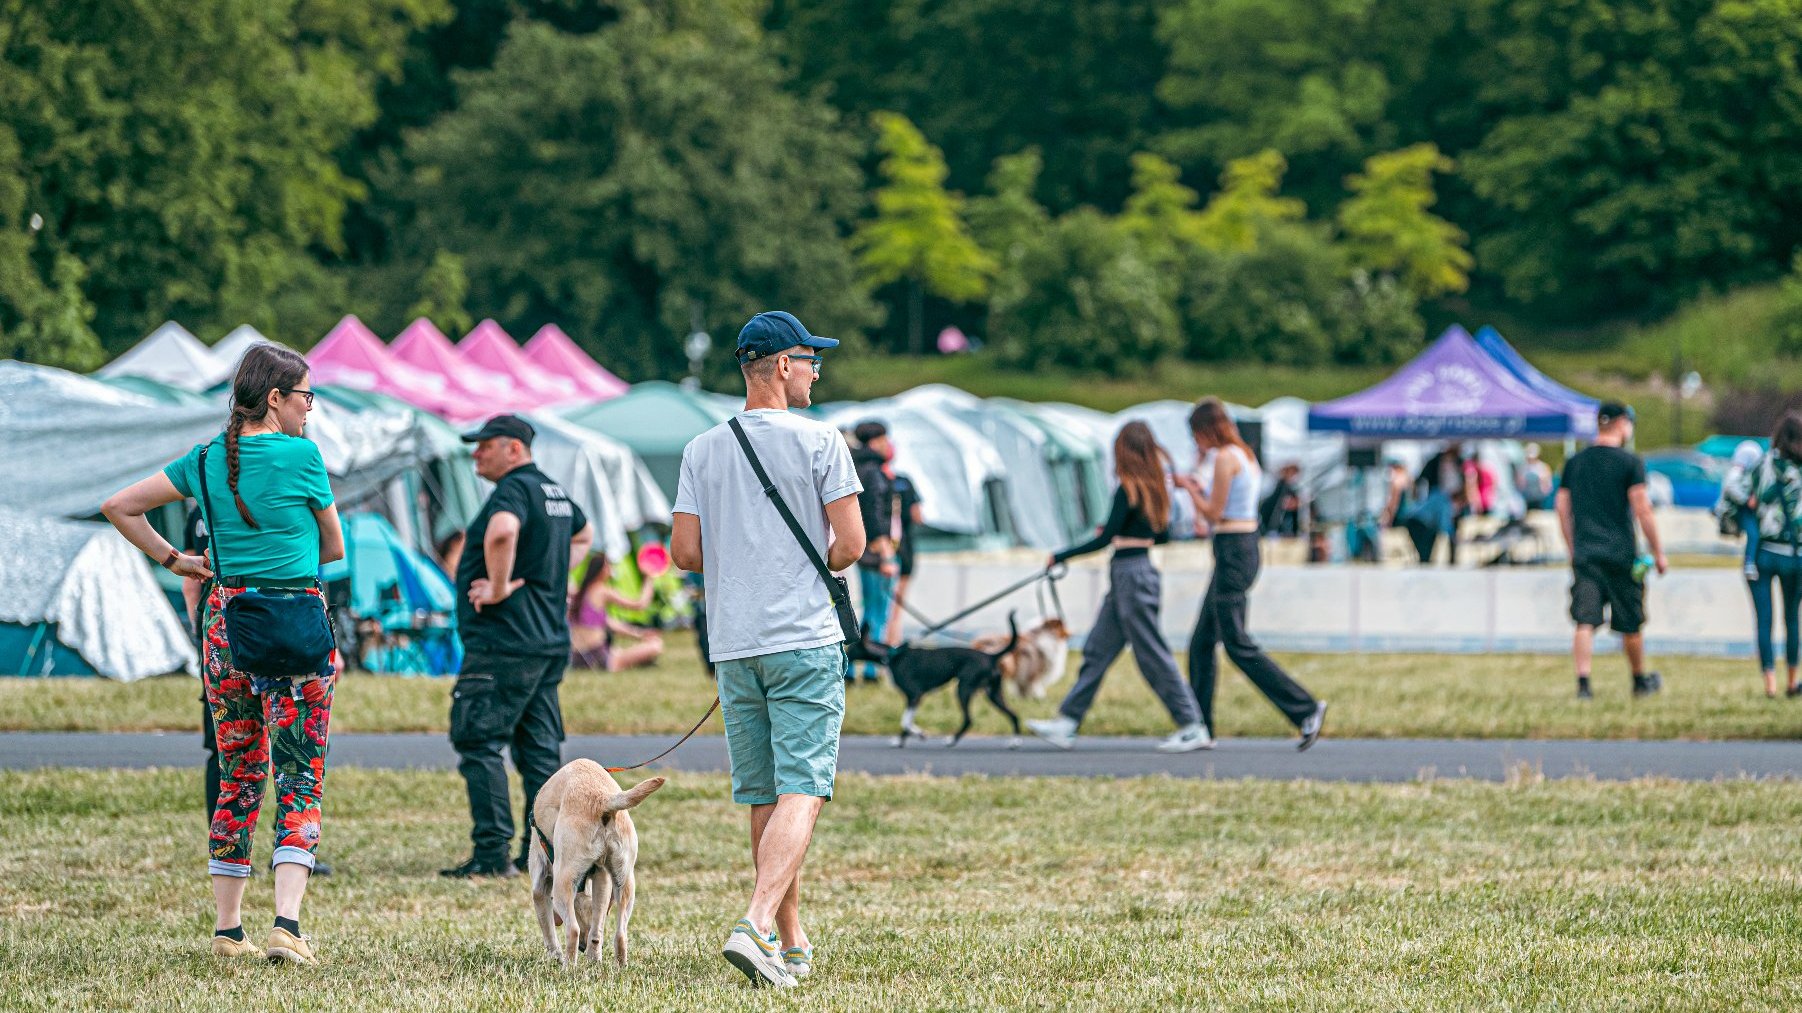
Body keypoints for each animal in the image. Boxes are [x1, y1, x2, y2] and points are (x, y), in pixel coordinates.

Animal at [529, 757, 666, 958]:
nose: (582, 947)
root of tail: (603, 799)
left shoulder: (540, 884)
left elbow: (548, 931)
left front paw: (555, 957)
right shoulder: (602, 876)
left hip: (562, 883)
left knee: (573, 930)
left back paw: (569, 964)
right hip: (624, 882)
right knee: (619, 935)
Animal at [850, 612, 1023, 746]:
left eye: (851, 648)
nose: (847, 654)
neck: (892, 656)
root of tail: (991, 656)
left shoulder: (914, 695)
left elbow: (905, 721)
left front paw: (916, 735)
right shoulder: (914, 699)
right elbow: (907, 721)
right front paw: (904, 739)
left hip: (963, 689)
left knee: (968, 719)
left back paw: (951, 741)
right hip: (993, 694)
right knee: (1014, 715)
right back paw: (1014, 742)